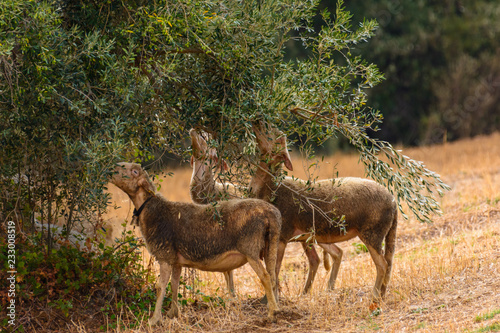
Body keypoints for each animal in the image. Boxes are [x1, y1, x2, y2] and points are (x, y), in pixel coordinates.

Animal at [111, 162, 282, 326]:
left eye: (134, 171)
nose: (111, 170)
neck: (152, 211)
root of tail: (271, 212)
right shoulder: (176, 260)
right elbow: (174, 284)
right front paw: (173, 313)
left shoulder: (165, 255)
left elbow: (161, 287)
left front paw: (154, 320)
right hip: (271, 244)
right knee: (273, 276)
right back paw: (276, 308)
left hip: (250, 248)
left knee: (265, 277)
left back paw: (272, 314)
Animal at [250, 123, 398, 300]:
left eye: (276, 137)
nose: (258, 122)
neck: (271, 188)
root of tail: (393, 202)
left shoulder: (281, 236)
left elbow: (274, 270)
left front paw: (270, 299)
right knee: (376, 261)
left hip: (372, 232)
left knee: (382, 264)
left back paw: (374, 295)